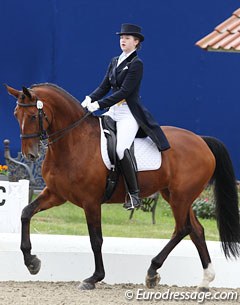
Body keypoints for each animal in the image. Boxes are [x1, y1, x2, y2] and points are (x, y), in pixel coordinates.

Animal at [5, 83, 240, 290]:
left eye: (33, 116)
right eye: (16, 114)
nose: (30, 155)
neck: (73, 142)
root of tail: (201, 140)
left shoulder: (90, 201)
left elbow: (96, 239)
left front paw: (94, 278)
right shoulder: (56, 194)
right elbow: (25, 213)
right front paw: (31, 262)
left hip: (181, 197)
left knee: (183, 229)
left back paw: (152, 271)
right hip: (175, 196)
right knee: (196, 230)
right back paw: (205, 280)